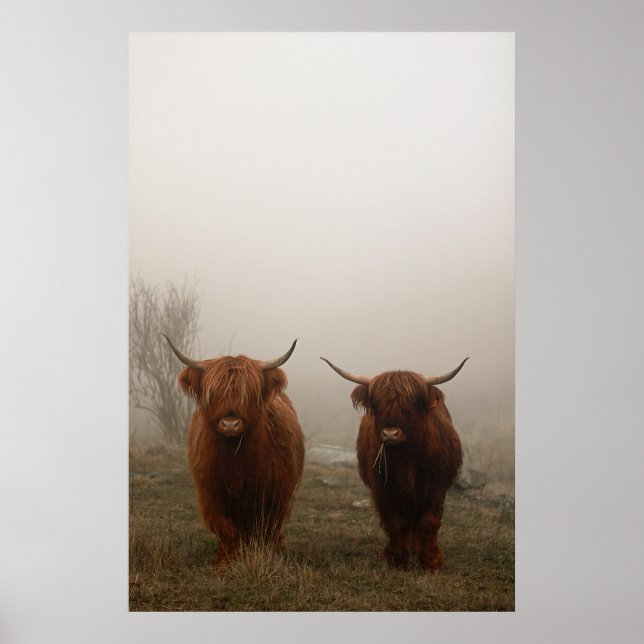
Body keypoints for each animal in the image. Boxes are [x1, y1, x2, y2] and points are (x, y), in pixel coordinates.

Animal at [163, 335, 305, 566]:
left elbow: (268, 527)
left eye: (249, 394)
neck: (235, 456)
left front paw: (271, 556)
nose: (230, 424)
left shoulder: (276, 492)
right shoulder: (212, 493)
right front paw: (225, 562)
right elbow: (226, 529)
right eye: (214, 393)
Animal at [321, 355, 467, 572]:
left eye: (412, 404)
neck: (406, 460)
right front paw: (396, 561)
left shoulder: (435, 488)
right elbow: (396, 522)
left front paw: (431, 563)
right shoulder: (384, 488)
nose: (390, 433)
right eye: (377, 403)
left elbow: (428, 522)